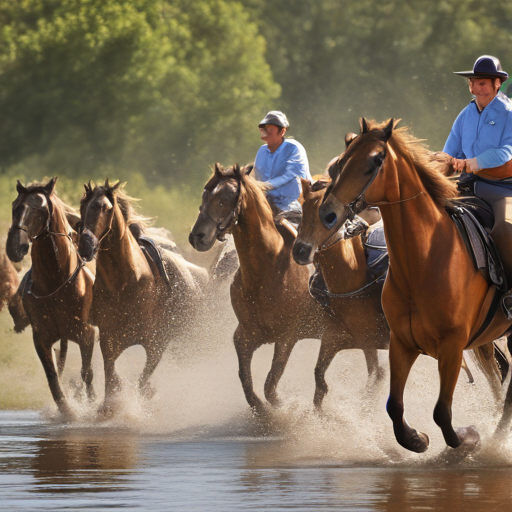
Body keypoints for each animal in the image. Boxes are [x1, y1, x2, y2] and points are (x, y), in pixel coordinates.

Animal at [5, 178, 96, 418]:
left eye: (40, 209)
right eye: (15, 206)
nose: (14, 248)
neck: (56, 281)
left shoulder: (87, 333)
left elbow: (87, 372)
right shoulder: (41, 338)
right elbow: (53, 378)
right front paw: (68, 411)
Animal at [77, 180, 207, 412]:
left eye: (104, 207)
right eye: (82, 207)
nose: (85, 245)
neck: (124, 284)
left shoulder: (157, 342)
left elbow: (143, 380)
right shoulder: (109, 341)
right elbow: (112, 379)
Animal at [188, 164, 324, 412]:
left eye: (224, 198)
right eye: (204, 195)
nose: (197, 236)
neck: (267, 270)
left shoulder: (287, 337)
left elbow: (271, 383)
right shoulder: (244, 335)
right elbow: (247, 382)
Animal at [292, 178, 388, 406]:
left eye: (330, 215)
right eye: (303, 209)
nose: (300, 251)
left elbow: (375, 378)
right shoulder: (338, 339)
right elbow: (319, 380)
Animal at [316, 119, 512, 452]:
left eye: (374, 162)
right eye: (340, 163)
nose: (328, 213)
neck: (423, 261)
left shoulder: (452, 347)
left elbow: (443, 413)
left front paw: (468, 438)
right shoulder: (402, 342)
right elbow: (394, 406)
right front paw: (417, 439)